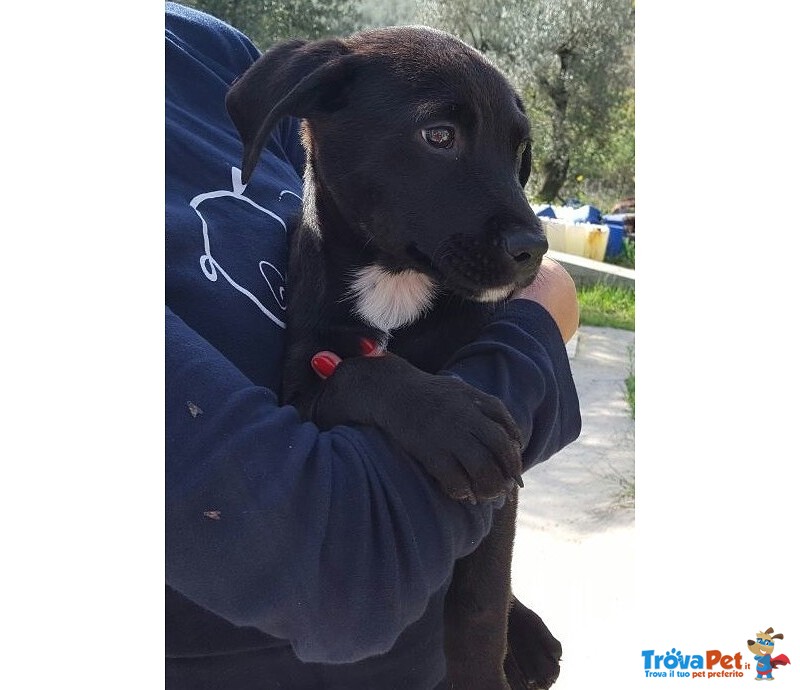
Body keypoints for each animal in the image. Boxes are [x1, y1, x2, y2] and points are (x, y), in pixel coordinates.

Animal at [228, 24, 560, 684]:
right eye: (440, 136)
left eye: (519, 152)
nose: (533, 249)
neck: (393, 281)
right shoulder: (299, 386)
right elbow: (360, 369)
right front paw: (451, 420)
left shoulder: (498, 502)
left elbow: (482, 604)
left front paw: (487, 670)